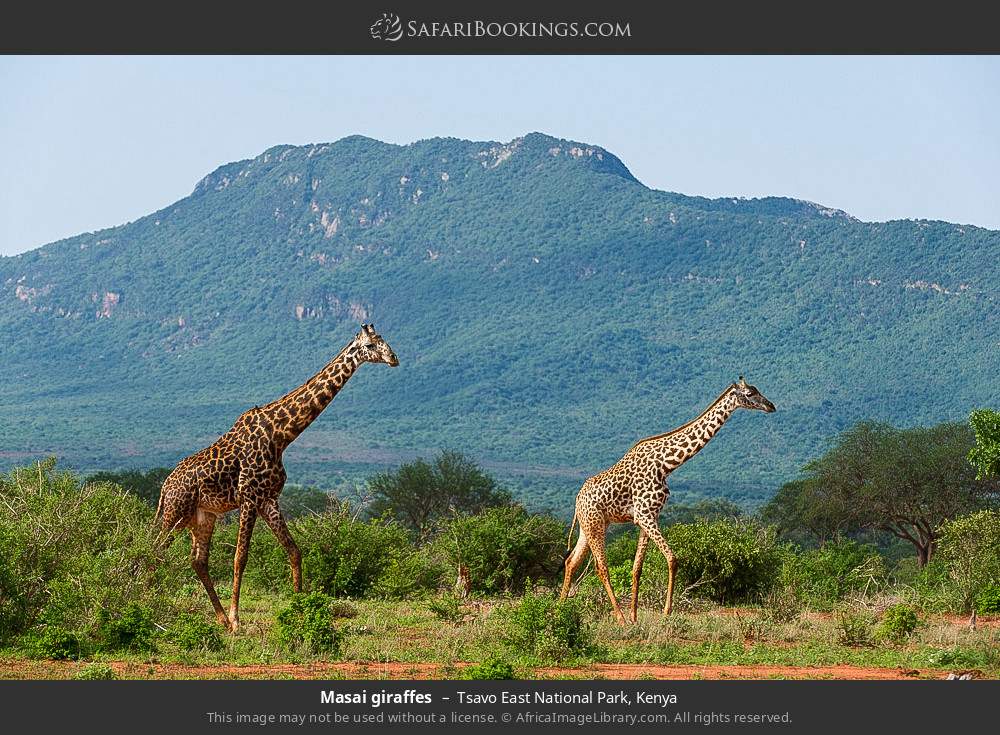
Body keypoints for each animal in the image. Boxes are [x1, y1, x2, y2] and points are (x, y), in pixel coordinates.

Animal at [155, 323, 399, 632]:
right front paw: (237, 620)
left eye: (384, 340)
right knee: (155, 550)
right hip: (176, 512)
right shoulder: (249, 497)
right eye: (369, 345)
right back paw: (149, 603)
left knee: (198, 561)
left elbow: (294, 550)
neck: (281, 434)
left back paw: (218, 618)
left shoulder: (269, 499)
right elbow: (240, 557)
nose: (394, 358)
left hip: (202, 516)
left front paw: (299, 611)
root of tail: (164, 487)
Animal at [560, 377, 775, 626]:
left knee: (571, 561)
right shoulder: (645, 515)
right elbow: (672, 559)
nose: (771, 406)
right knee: (600, 566)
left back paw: (559, 608)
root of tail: (577, 500)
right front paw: (665, 612)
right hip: (594, 524)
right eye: (750, 394)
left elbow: (637, 567)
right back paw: (619, 618)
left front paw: (635, 618)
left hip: (590, 526)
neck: (666, 465)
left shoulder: (648, 517)